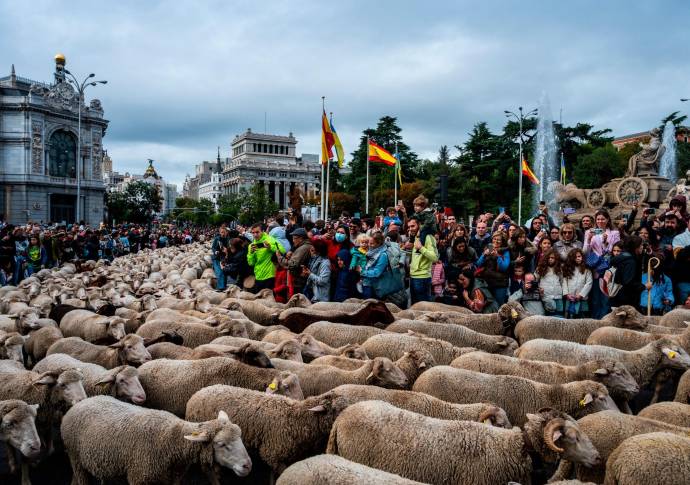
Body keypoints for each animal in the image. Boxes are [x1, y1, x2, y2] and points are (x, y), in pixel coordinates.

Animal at [61, 396, 252, 484]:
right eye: (221, 444)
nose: (247, 466)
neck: (171, 439)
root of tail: (84, 401)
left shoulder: (173, 479)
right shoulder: (139, 477)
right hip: (75, 458)